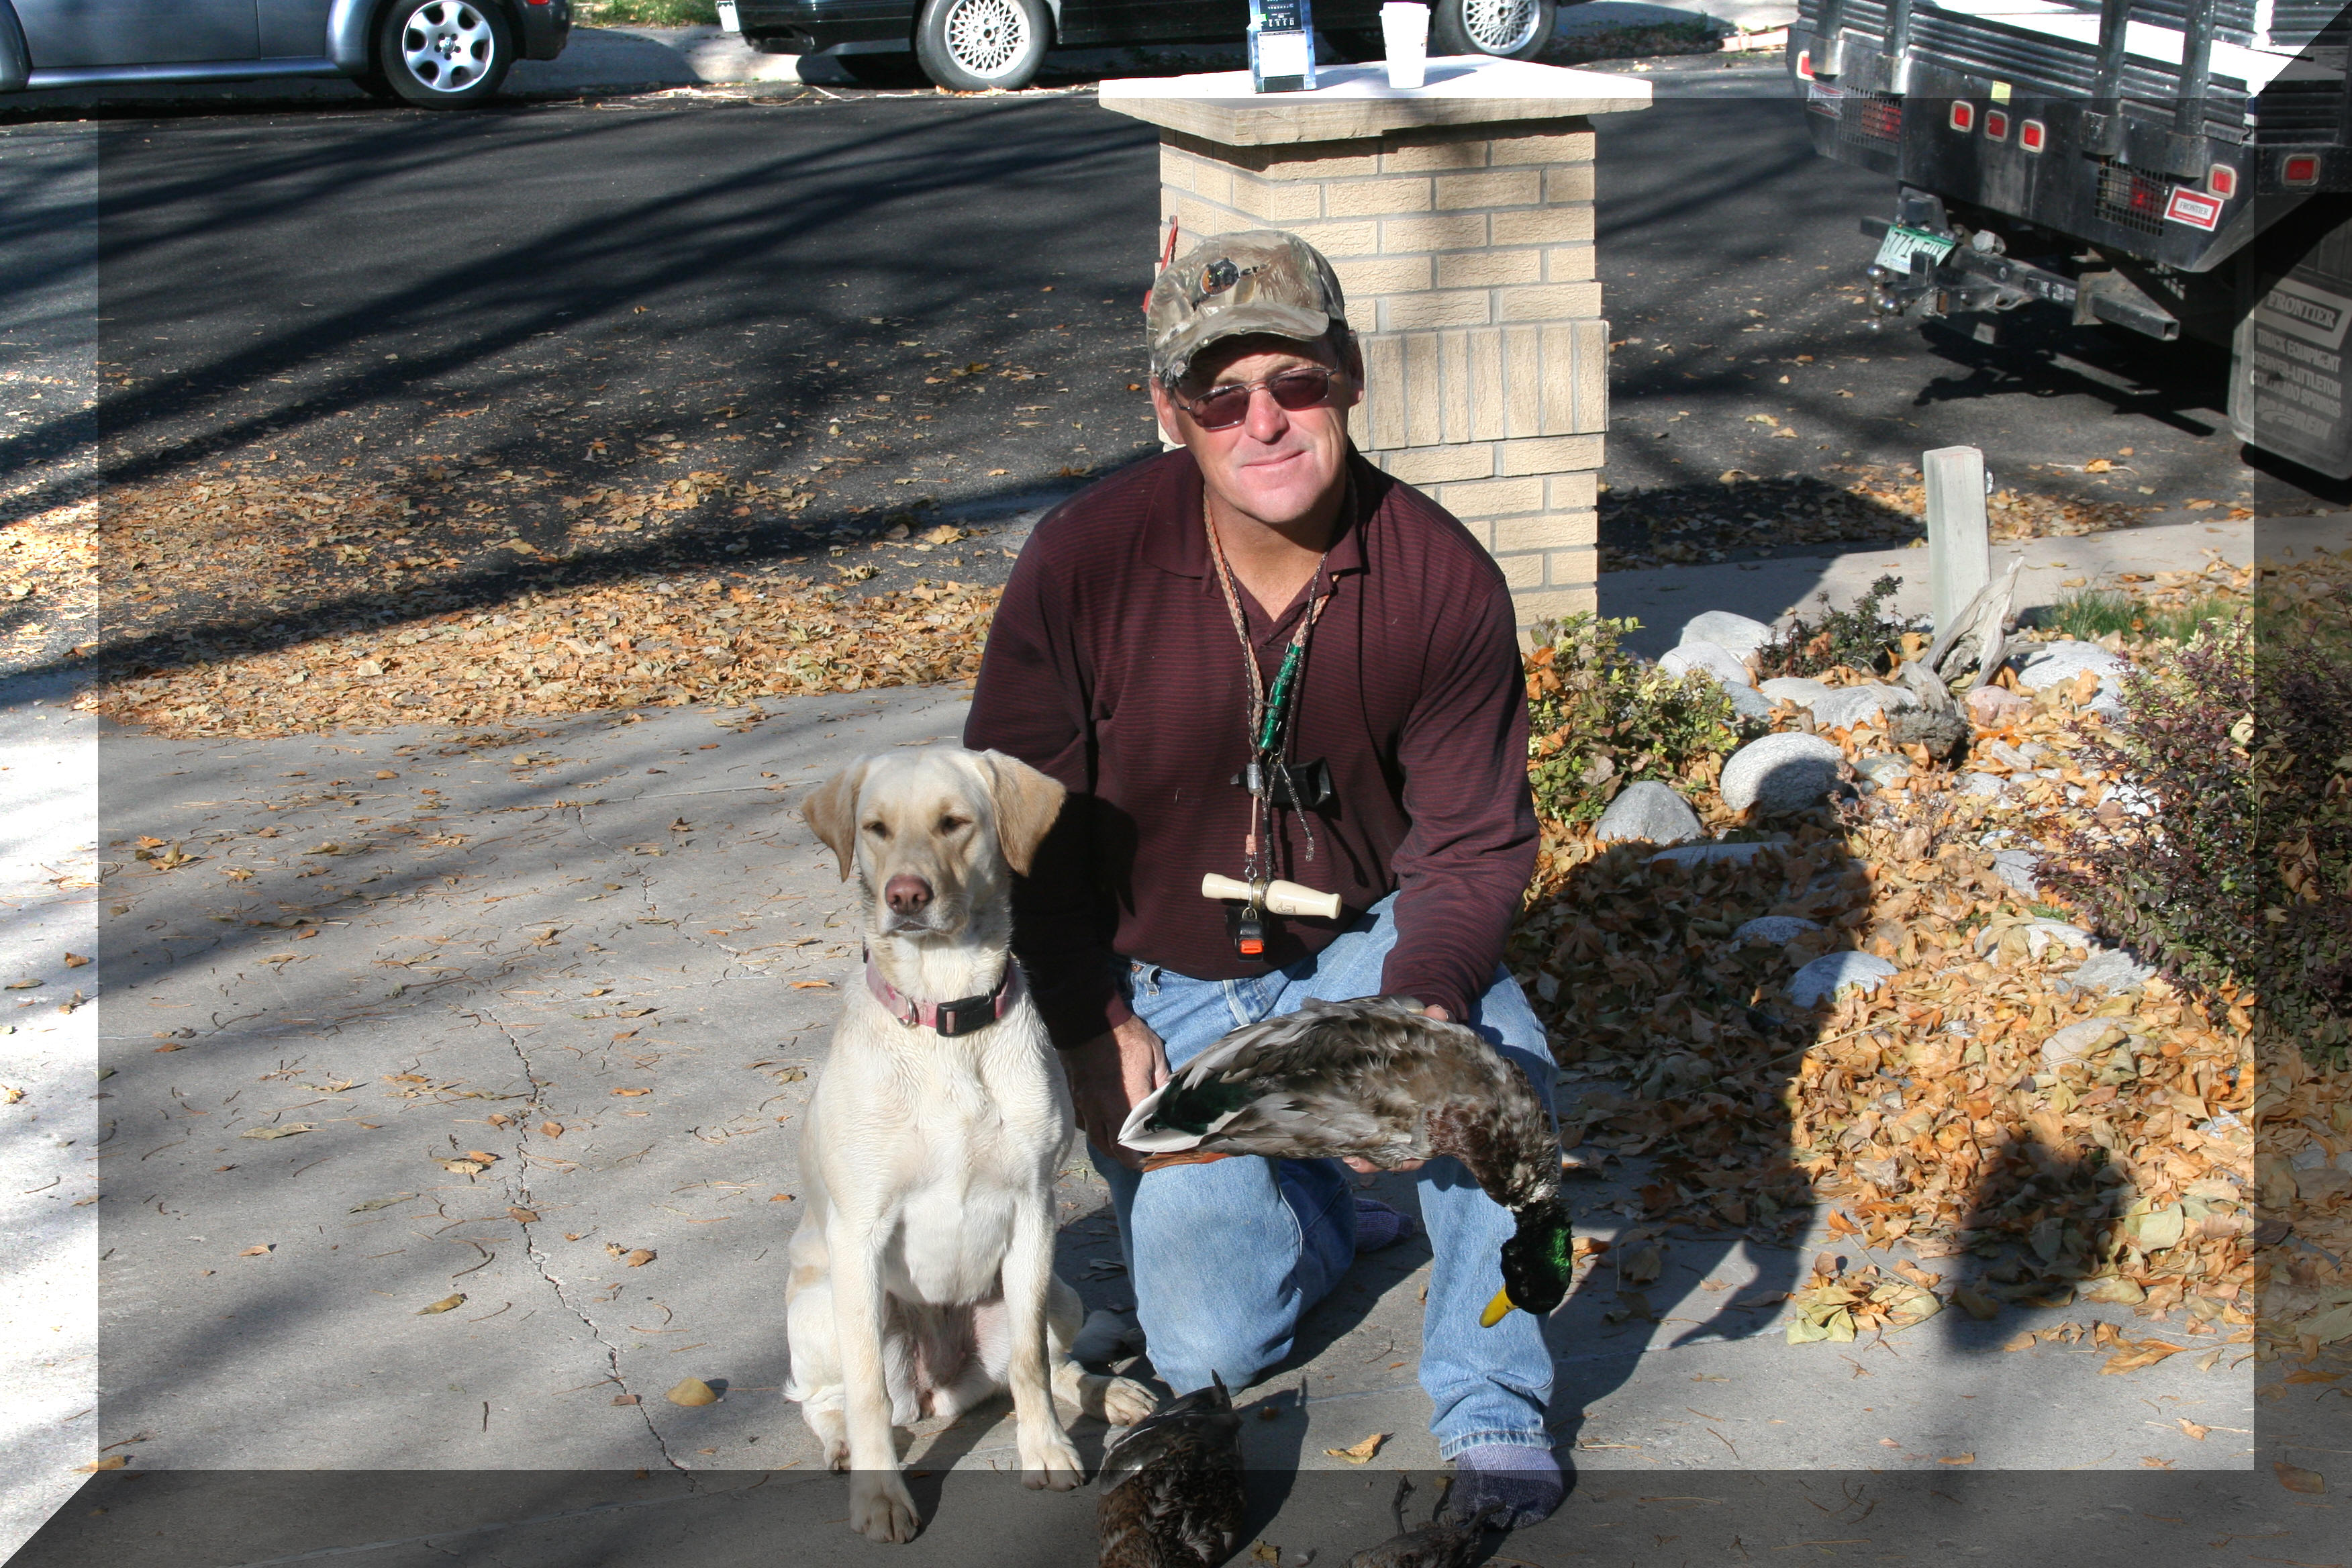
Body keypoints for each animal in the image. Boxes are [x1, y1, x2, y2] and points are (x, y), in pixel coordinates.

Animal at [790, 752, 1157, 1542]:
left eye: (954, 822)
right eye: (876, 827)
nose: (905, 894)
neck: (945, 1020)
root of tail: (943, 1390)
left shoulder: (1032, 1211)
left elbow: (1028, 1366)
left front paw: (1045, 1449)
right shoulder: (859, 1233)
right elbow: (866, 1393)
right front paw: (879, 1497)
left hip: (1055, 1290)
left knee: (1049, 1362)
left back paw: (1108, 1393)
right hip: (823, 1307)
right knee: (828, 1398)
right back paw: (844, 1446)